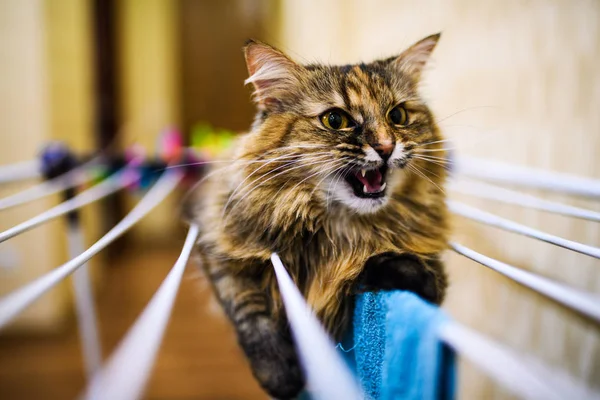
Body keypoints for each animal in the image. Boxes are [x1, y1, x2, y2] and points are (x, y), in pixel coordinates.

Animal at [185, 35, 452, 400]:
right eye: (336, 120)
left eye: (397, 115)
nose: (386, 147)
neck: (339, 228)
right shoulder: (216, 245)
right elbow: (248, 310)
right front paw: (280, 375)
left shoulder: (431, 273)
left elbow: (406, 272)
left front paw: (376, 270)